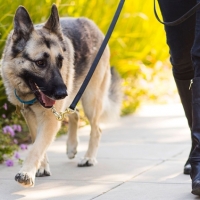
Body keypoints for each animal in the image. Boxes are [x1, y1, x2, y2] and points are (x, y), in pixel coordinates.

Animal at [0, 4, 121, 188]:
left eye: (60, 62)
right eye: (40, 63)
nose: (62, 93)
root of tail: (90, 23)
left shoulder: (50, 119)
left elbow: (36, 147)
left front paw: (26, 173)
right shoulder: (30, 114)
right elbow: (37, 142)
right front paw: (41, 167)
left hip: (90, 100)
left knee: (96, 129)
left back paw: (89, 158)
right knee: (75, 113)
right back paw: (71, 146)